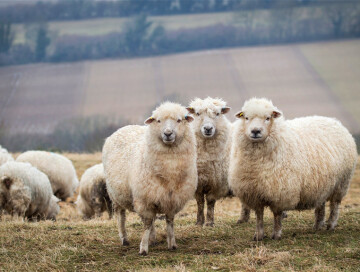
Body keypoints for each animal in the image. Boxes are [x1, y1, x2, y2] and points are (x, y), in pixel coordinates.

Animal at [102, 101, 197, 255]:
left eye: (179, 120)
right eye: (158, 121)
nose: (168, 133)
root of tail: (124, 127)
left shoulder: (172, 198)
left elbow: (169, 221)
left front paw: (172, 244)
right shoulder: (144, 199)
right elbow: (146, 224)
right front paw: (143, 248)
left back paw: (153, 239)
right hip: (116, 195)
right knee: (121, 216)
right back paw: (124, 239)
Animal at [186, 96, 250, 226]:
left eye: (218, 113)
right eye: (197, 113)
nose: (208, 128)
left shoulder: (216, 182)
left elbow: (210, 202)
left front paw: (209, 223)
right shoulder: (198, 183)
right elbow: (200, 202)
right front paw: (199, 222)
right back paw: (242, 220)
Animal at [229, 98, 358, 240]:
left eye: (268, 118)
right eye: (246, 118)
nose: (255, 131)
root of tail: (334, 121)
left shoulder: (280, 192)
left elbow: (277, 215)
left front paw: (276, 234)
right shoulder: (253, 192)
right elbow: (259, 216)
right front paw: (258, 235)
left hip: (341, 183)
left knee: (335, 205)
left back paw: (331, 225)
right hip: (322, 184)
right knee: (321, 204)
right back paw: (318, 225)